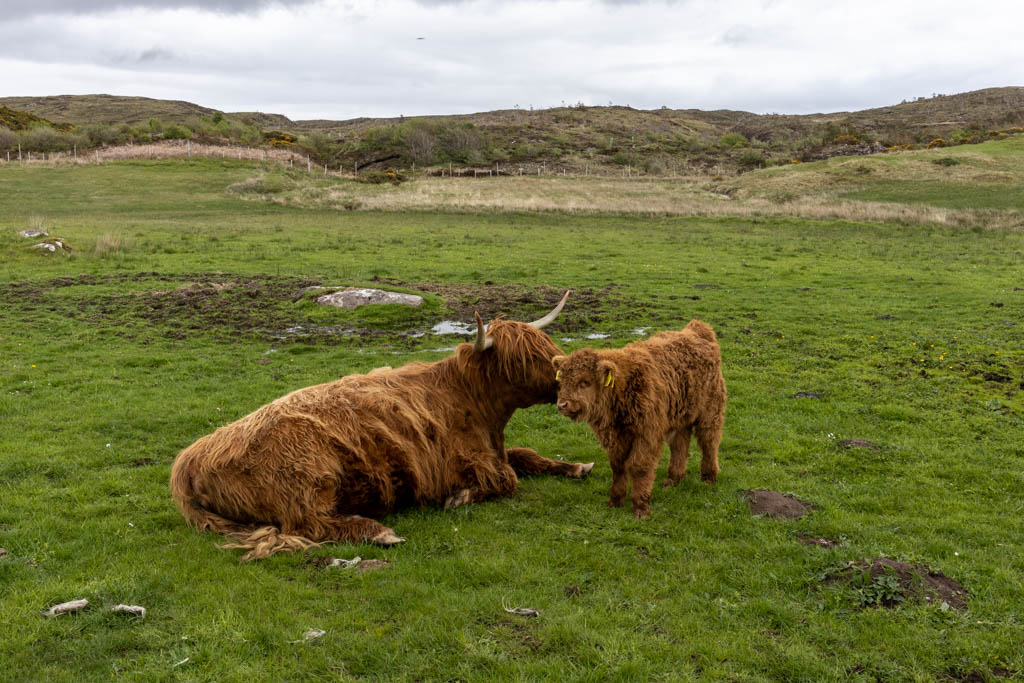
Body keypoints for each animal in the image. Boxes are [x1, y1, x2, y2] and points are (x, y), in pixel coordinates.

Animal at [169, 290, 593, 561]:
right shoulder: (464, 462)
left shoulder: (497, 447)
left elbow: (526, 455)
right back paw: (380, 532)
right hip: (308, 479)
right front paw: (459, 497)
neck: (477, 405)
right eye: (523, 358)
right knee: (309, 523)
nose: (565, 375)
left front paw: (577, 466)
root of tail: (185, 464)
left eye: (546, 345)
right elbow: (506, 479)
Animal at [552, 321, 729, 518]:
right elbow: (618, 466)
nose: (563, 404)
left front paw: (640, 507)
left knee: (709, 441)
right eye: (561, 381)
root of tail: (697, 329)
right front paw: (615, 501)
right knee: (680, 446)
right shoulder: (616, 438)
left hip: (710, 411)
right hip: (680, 415)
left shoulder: (647, 434)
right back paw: (673, 480)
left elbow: (639, 466)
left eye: (585, 382)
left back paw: (709, 477)